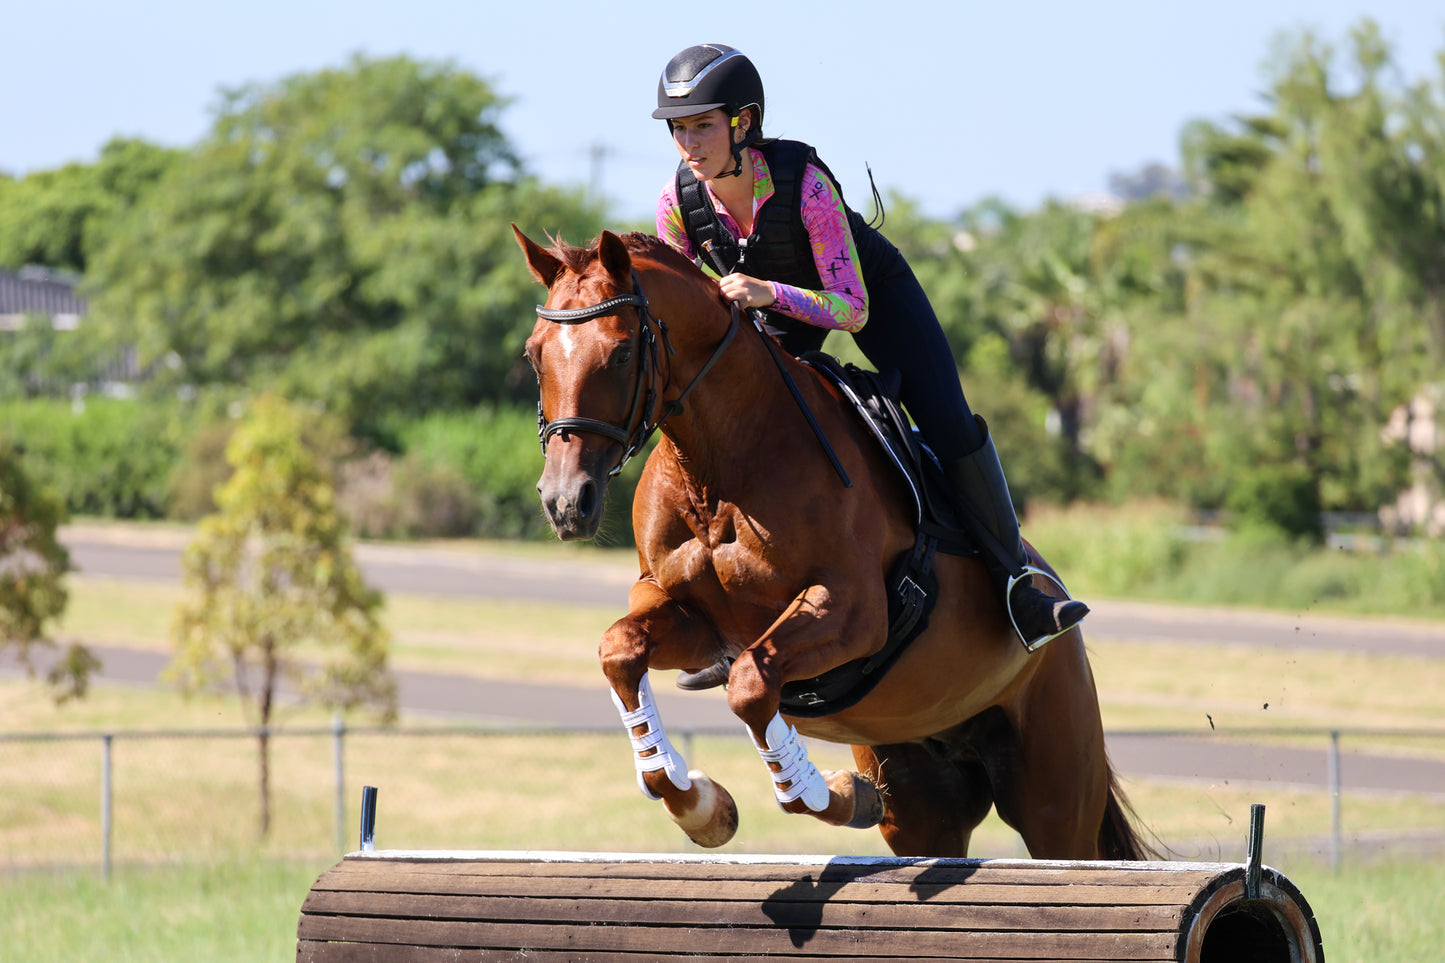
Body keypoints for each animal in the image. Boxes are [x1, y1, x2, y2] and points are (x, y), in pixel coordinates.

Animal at [514, 222, 1156, 856]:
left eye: (622, 352)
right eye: (534, 354)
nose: (566, 501)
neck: (718, 469)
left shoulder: (853, 612)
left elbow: (751, 687)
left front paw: (823, 792)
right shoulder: (698, 622)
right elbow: (621, 651)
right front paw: (699, 804)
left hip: (1052, 793)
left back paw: (1035, 610)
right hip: (925, 795)